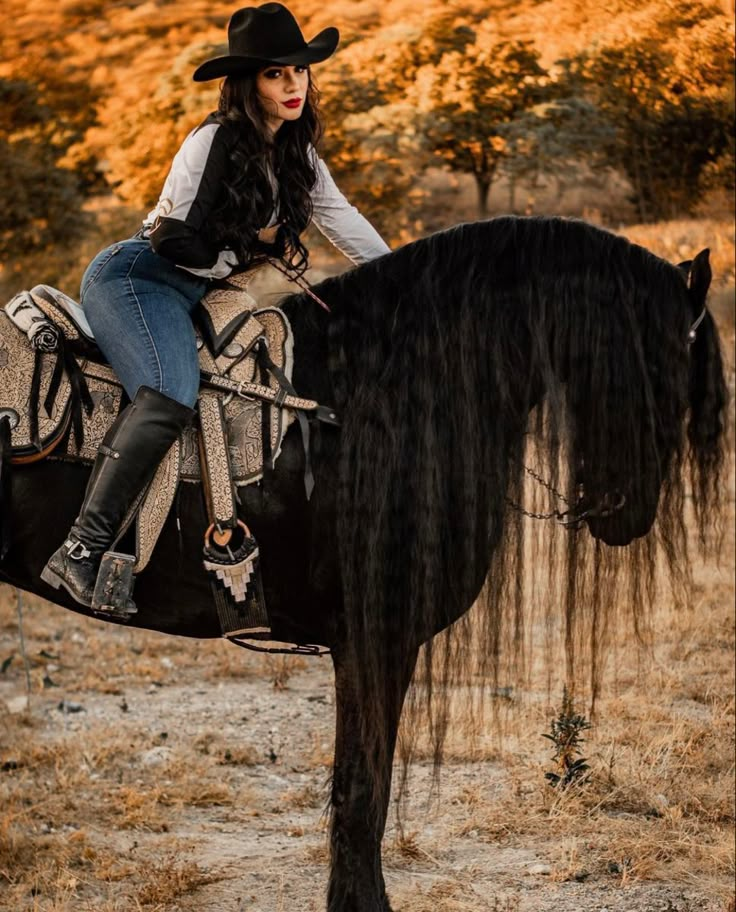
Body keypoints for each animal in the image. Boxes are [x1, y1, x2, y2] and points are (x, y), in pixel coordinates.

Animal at [0, 217, 728, 908]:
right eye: (668, 361)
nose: (626, 516)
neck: (372, 405)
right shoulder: (375, 641)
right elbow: (362, 790)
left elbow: (360, 790)